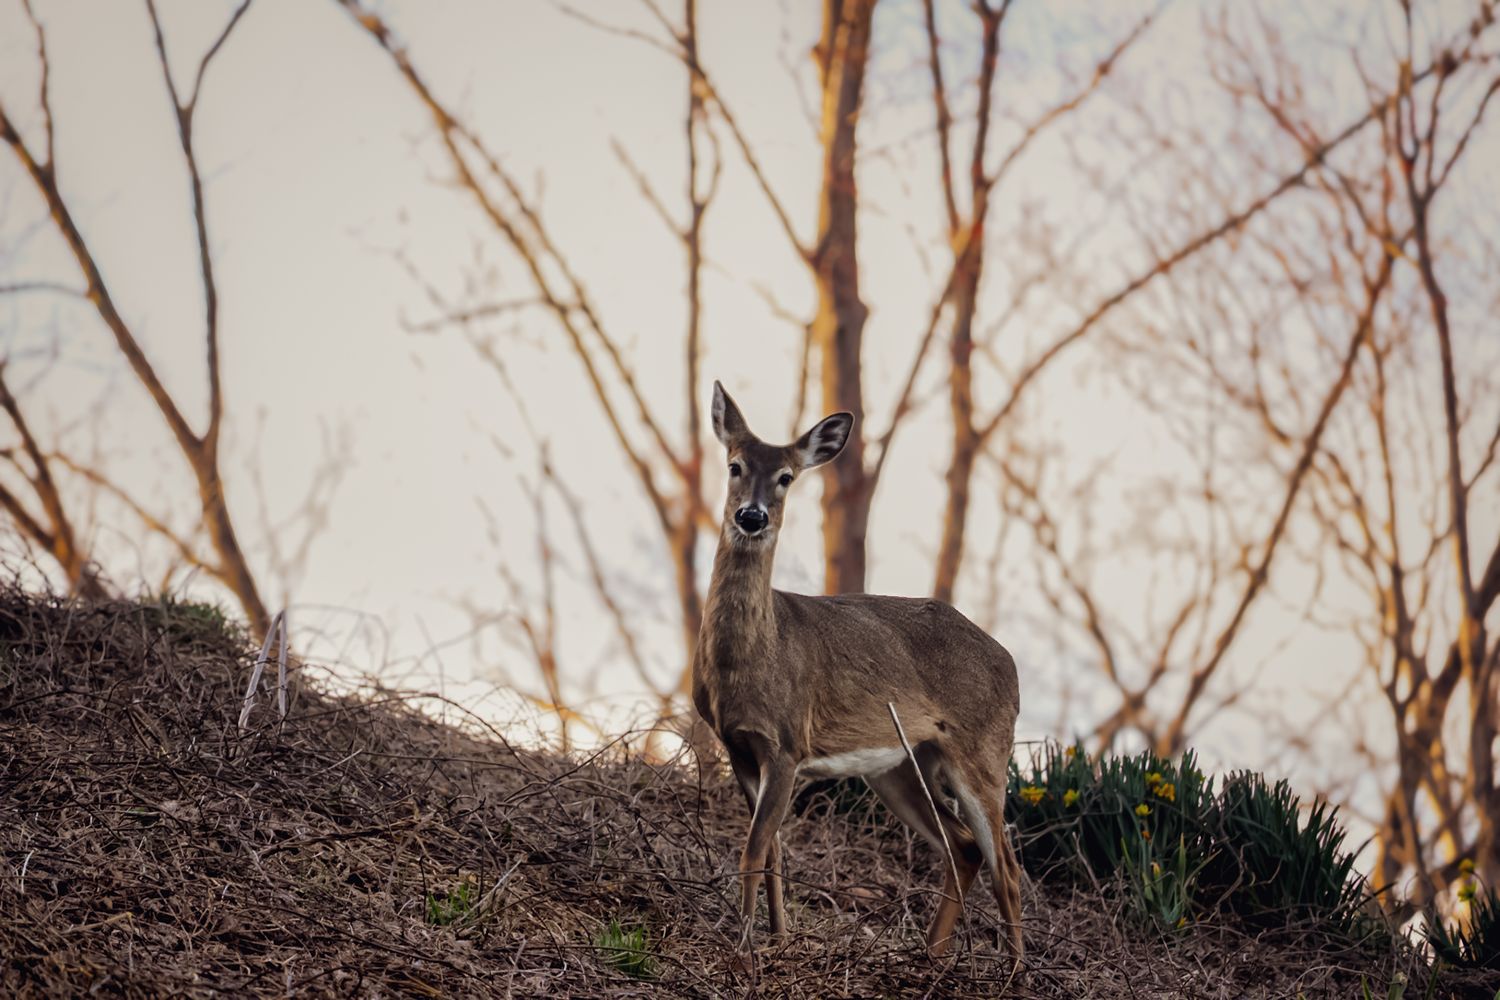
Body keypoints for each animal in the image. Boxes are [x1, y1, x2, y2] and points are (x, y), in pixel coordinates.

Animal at [692, 381, 1024, 965]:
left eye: (786, 477)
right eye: (734, 465)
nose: (752, 516)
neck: (749, 662)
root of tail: (1012, 667)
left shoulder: (787, 742)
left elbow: (754, 849)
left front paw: (745, 948)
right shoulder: (738, 746)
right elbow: (772, 849)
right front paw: (777, 938)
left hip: (983, 749)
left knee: (1006, 865)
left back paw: (1016, 972)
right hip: (902, 764)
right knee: (962, 846)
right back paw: (931, 957)